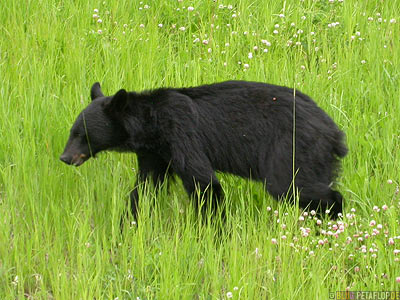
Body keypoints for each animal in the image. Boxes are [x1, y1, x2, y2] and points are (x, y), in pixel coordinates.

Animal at [60, 81, 346, 219]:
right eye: (72, 132)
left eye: (81, 135)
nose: (64, 157)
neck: (152, 126)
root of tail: (334, 132)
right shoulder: (155, 154)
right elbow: (145, 188)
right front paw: (128, 224)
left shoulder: (181, 134)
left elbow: (204, 183)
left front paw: (215, 232)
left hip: (290, 150)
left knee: (296, 187)